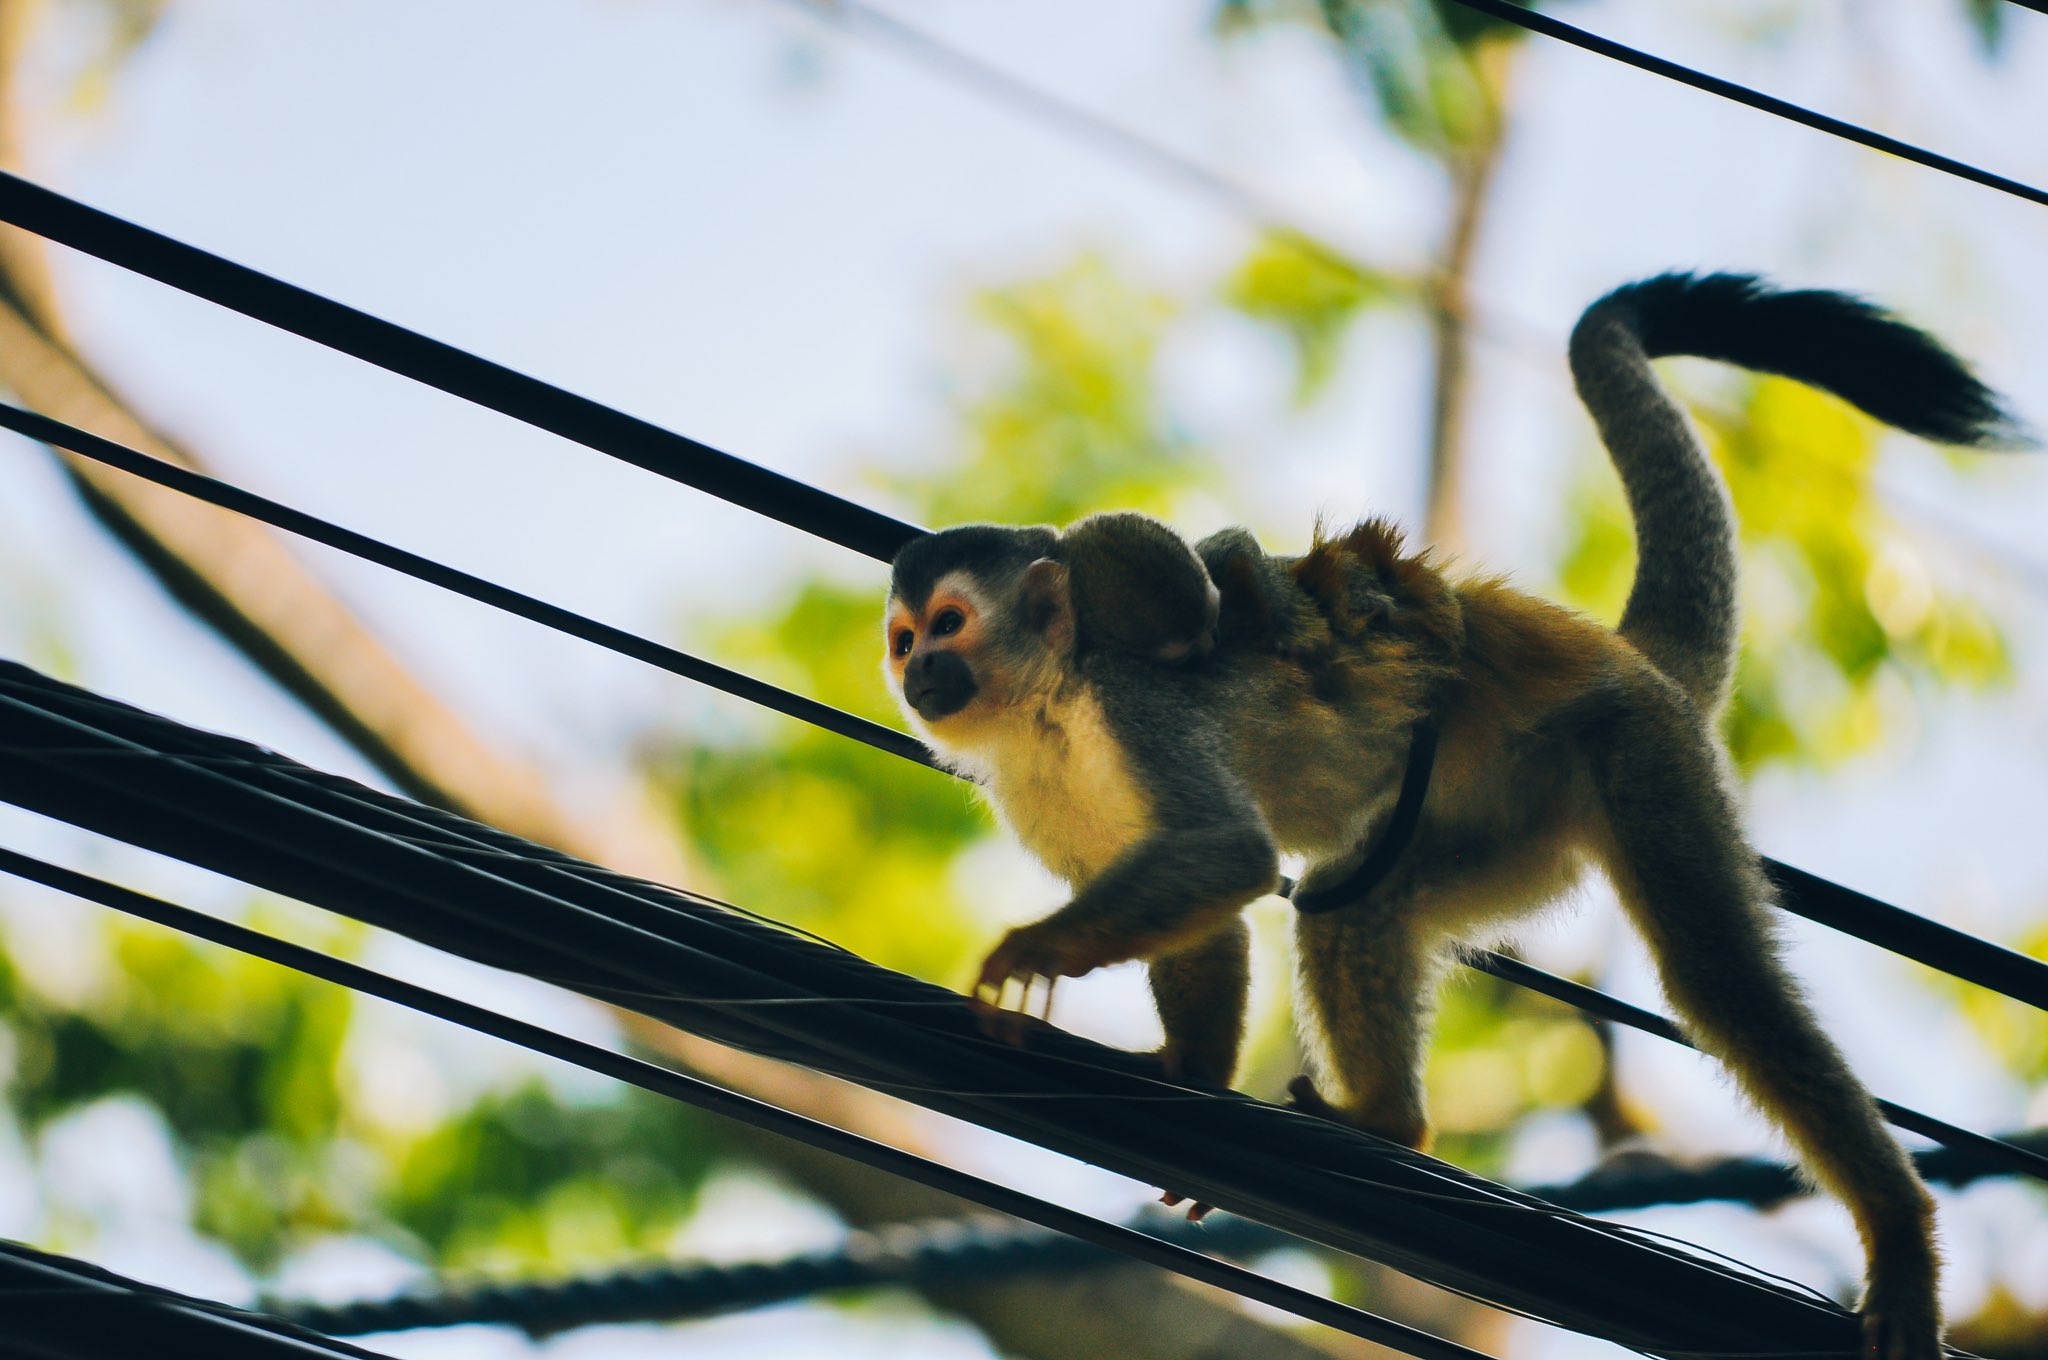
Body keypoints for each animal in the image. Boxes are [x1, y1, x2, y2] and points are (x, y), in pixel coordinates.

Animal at [884, 276, 2031, 1360]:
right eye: (903, 638)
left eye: (949, 624)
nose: (920, 673)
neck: (1048, 704)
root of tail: (1627, 658)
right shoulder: (1030, 786)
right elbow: (1205, 906)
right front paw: (1191, 1073)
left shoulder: (1133, 699)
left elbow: (1227, 851)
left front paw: (1030, 954)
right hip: (1513, 817)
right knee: (1353, 905)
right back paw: (1389, 1118)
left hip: (1633, 749)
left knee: (1718, 977)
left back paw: (1897, 1230)